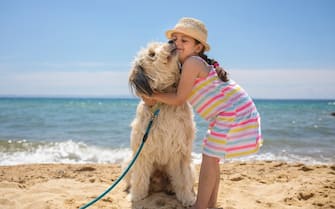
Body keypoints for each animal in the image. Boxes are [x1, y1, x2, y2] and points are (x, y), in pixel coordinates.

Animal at [128, 41, 197, 206]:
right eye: (151, 54)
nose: (171, 41)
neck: (163, 103)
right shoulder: (142, 151)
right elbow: (139, 177)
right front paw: (137, 196)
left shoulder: (180, 151)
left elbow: (183, 179)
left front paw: (187, 198)